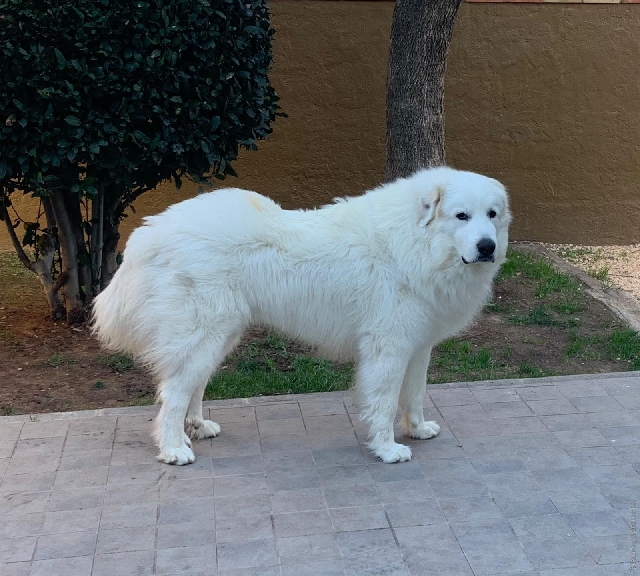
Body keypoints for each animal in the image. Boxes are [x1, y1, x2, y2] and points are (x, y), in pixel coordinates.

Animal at [91, 166, 510, 464]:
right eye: (460, 216)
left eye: (491, 214)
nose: (487, 247)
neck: (418, 243)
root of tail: (153, 230)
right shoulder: (387, 347)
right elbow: (385, 401)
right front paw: (388, 449)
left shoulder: (418, 344)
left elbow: (416, 394)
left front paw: (418, 430)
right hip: (203, 330)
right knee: (173, 392)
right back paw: (174, 449)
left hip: (218, 335)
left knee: (192, 383)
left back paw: (196, 427)